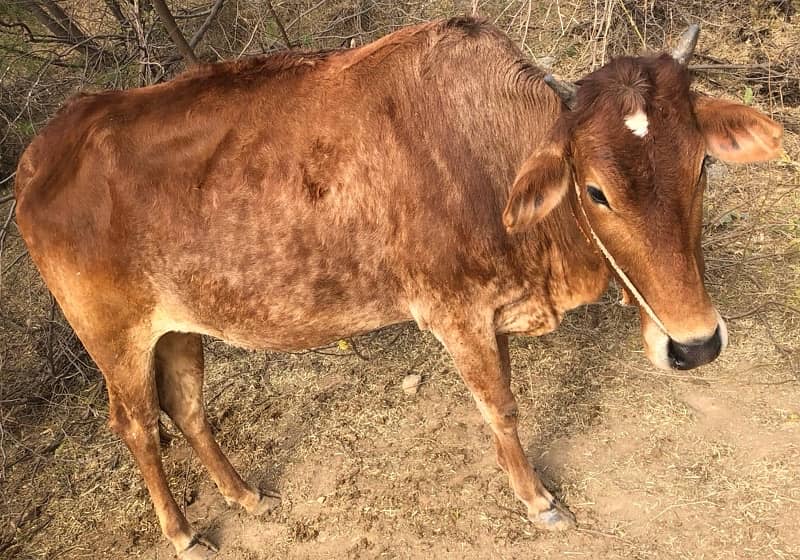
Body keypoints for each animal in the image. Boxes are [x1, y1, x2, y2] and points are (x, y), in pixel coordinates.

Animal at [12, 18, 780, 560]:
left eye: (703, 166)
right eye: (595, 191)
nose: (696, 344)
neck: (491, 156)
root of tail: (38, 155)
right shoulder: (456, 314)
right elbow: (500, 407)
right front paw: (538, 501)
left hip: (180, 327)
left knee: (187, 407)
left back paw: (247, 497)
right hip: (114, 339)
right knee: (138, 426)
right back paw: (184, 533)